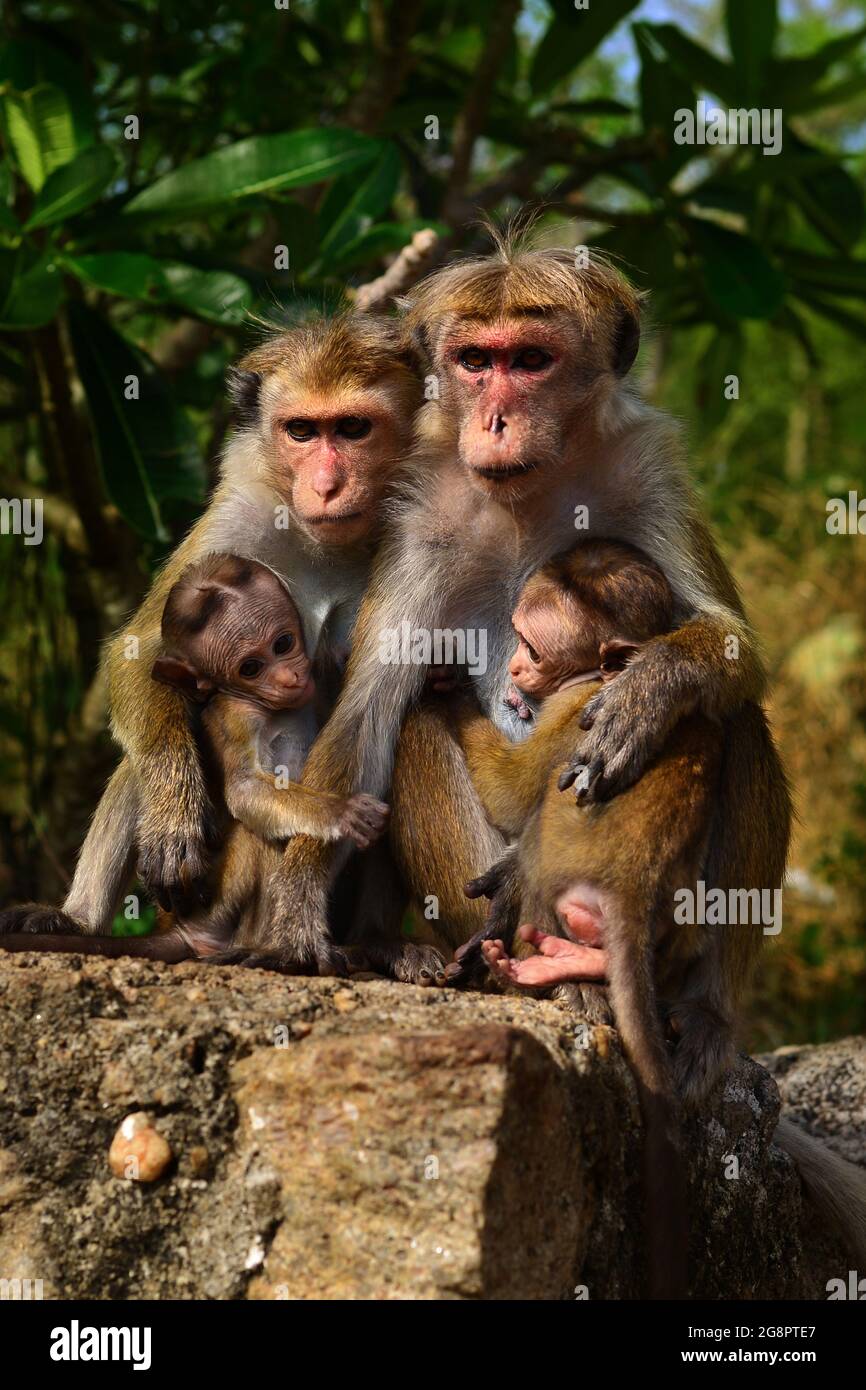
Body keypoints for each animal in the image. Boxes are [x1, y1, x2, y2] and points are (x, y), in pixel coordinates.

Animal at [0, 312, 446, 981]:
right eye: (301, 431)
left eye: (353, 428)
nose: (326, 484)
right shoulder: (241, 515)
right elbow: (141, 651)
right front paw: (174, 807)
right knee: (145, 747)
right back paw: (78, 917)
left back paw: (378, 941)